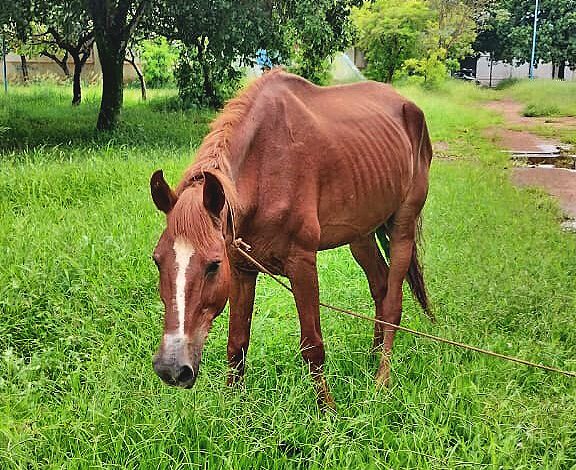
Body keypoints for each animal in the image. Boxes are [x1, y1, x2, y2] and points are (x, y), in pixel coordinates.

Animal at [150, 68, 432, 406]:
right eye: (157, 260)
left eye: (213, 265)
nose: (171, 368)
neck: (263, 168)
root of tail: (408, 105)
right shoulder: (242, 268)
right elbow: (237, 343)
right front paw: (232, 406)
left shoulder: (301, 264)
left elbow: (312, 347)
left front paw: (328, 411)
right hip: (361, 234)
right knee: (380, 286)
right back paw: (372, 355)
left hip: (402, 227)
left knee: (393, 303)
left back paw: (381, 380)